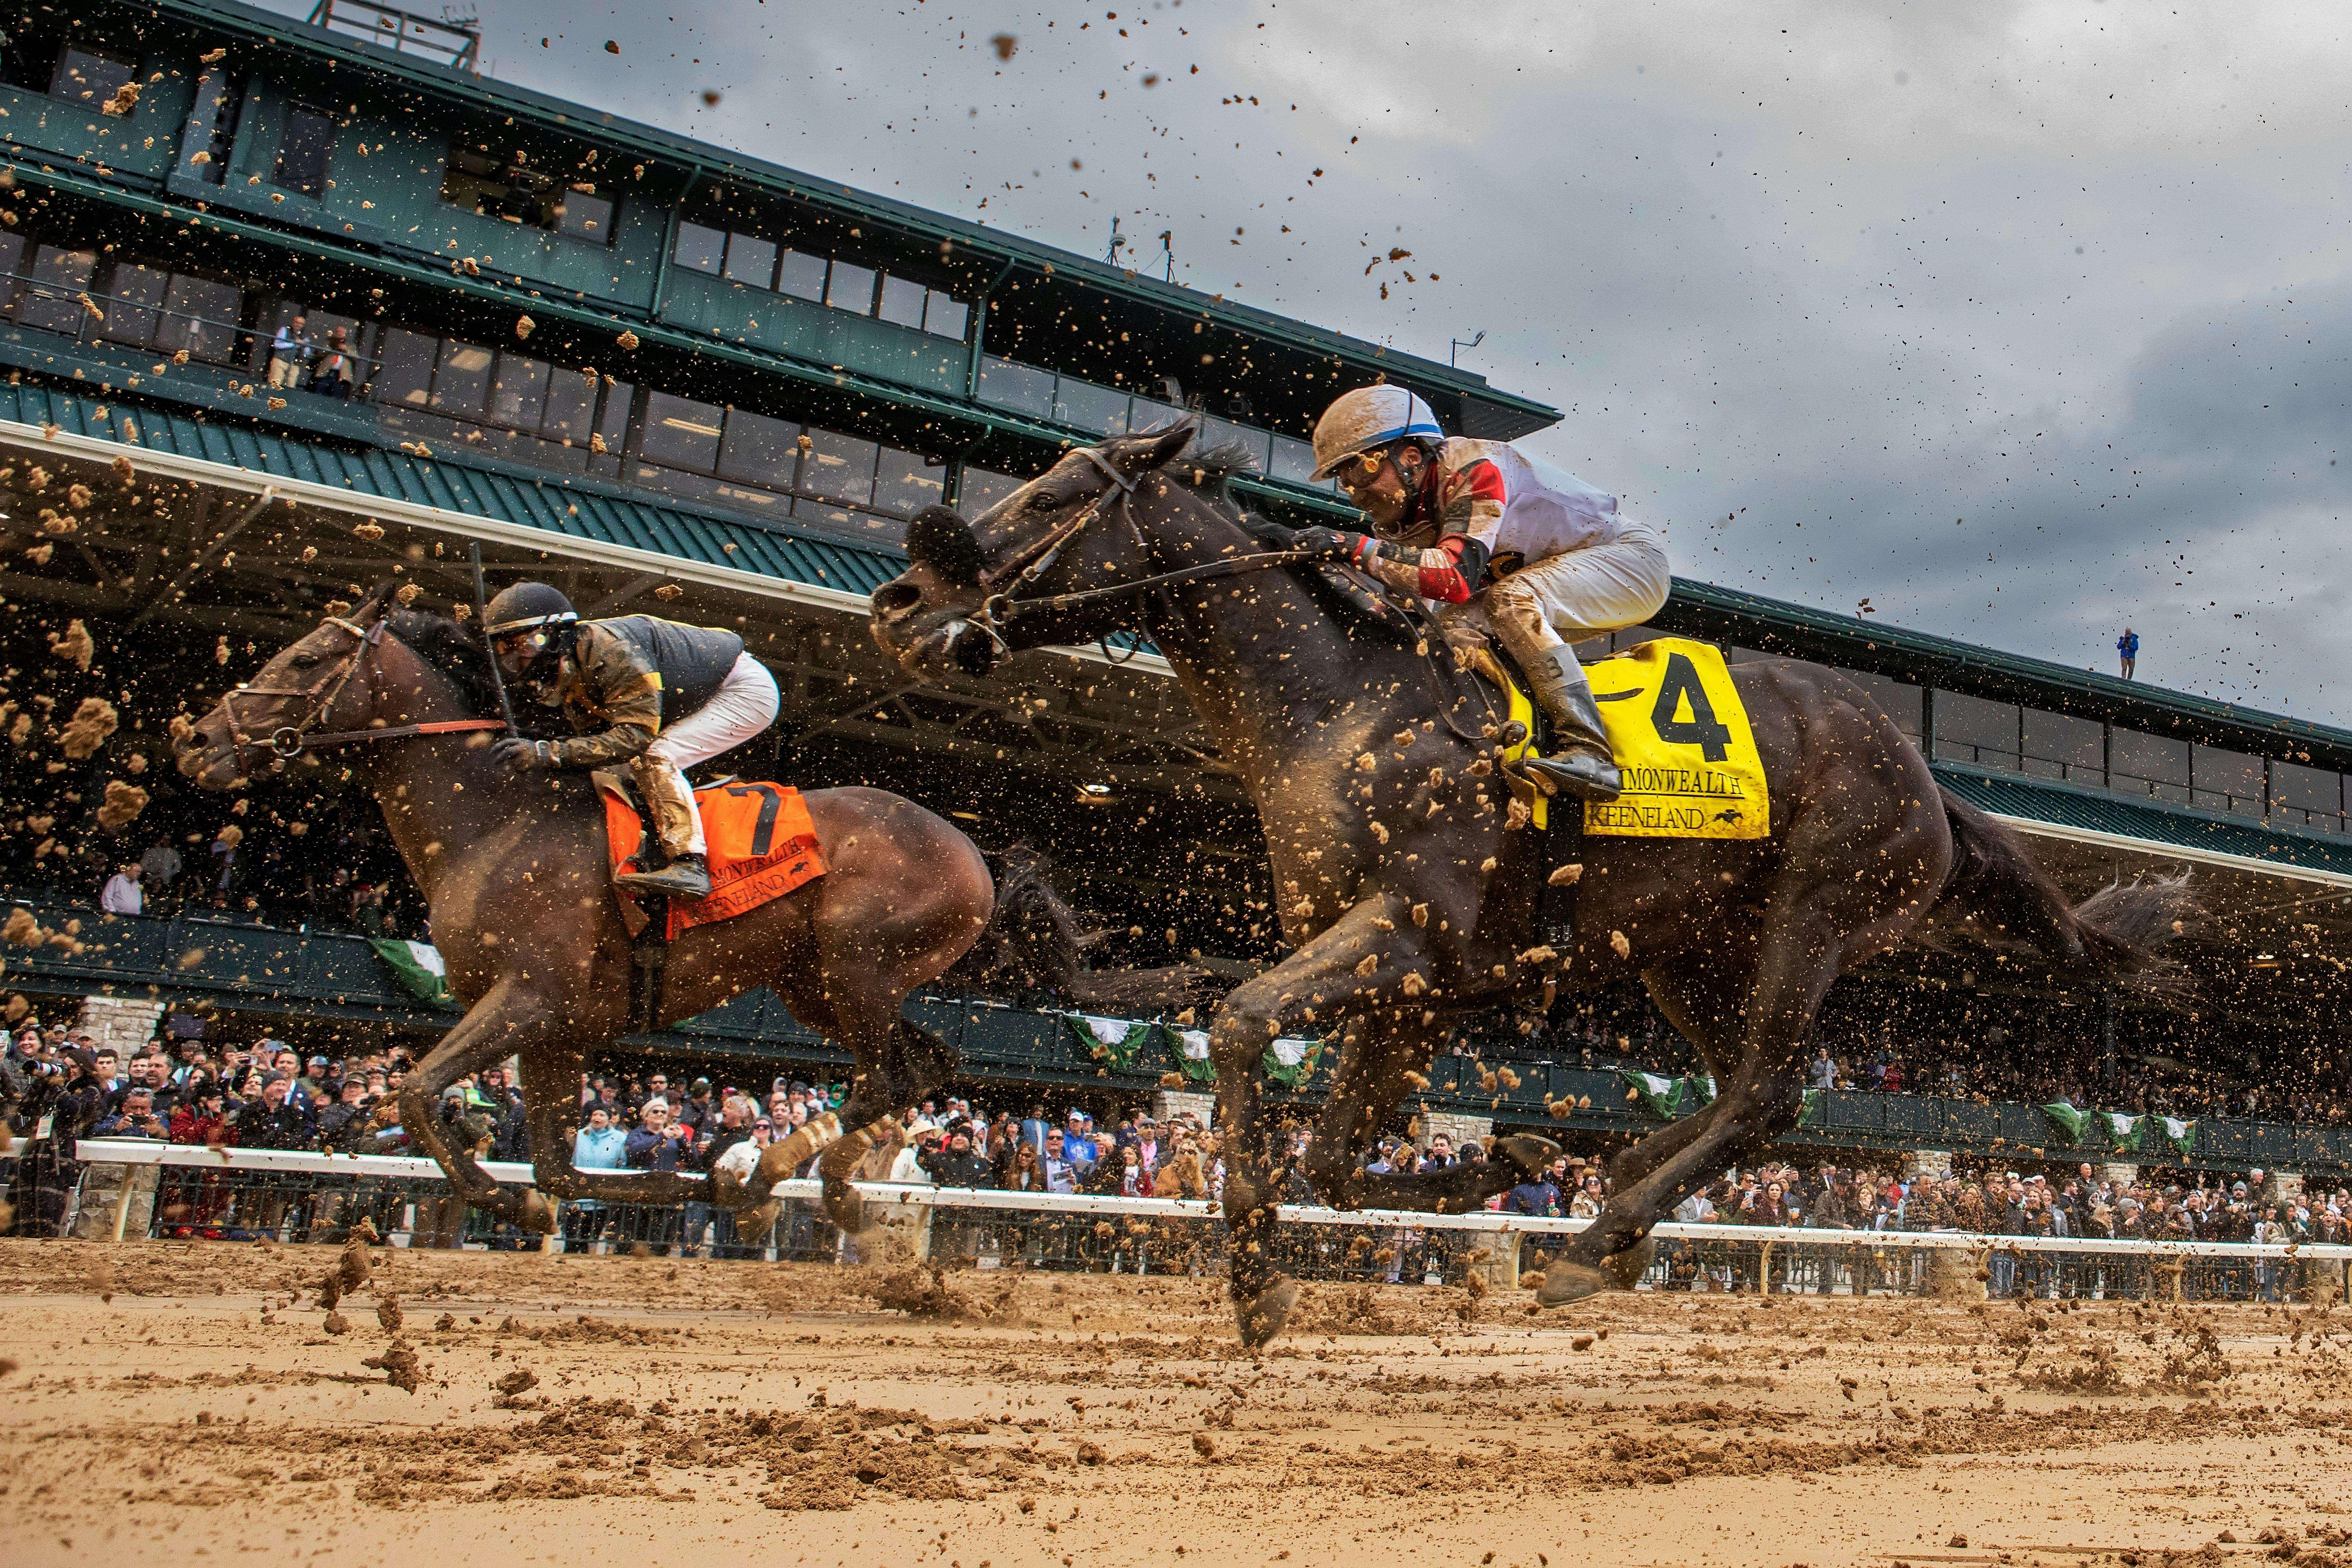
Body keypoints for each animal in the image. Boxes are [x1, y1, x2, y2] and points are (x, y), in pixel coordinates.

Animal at [171, 588, 1176, 1241]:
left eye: (307, 658)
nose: (199, 743)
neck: (493, 818)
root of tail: (976, 850)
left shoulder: (529, 999)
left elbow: (417, 1092)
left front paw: (524, 1196)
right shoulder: (559, 1033)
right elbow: (555, 1165)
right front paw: (603, 1187)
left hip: (857, 966)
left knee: (902, 1068)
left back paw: (775, 1170)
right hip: (816, 983)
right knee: (918, 1067)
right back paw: (820, 1183)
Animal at [875, 421, 2192, 1354]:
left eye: (1052, 497)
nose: (900, 601)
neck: (1344, 708)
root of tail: (1925, 774)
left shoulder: (1407, 940)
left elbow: (1244, 1024)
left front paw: (1256, 1278)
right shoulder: (1414, 991)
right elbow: (1334, 1155)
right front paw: (1501, 1159)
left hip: (1815, 912)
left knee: (1771, 1087)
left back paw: (1596, 1233)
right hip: (1685, 955)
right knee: (1751, 1094)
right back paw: (1613, 1195)